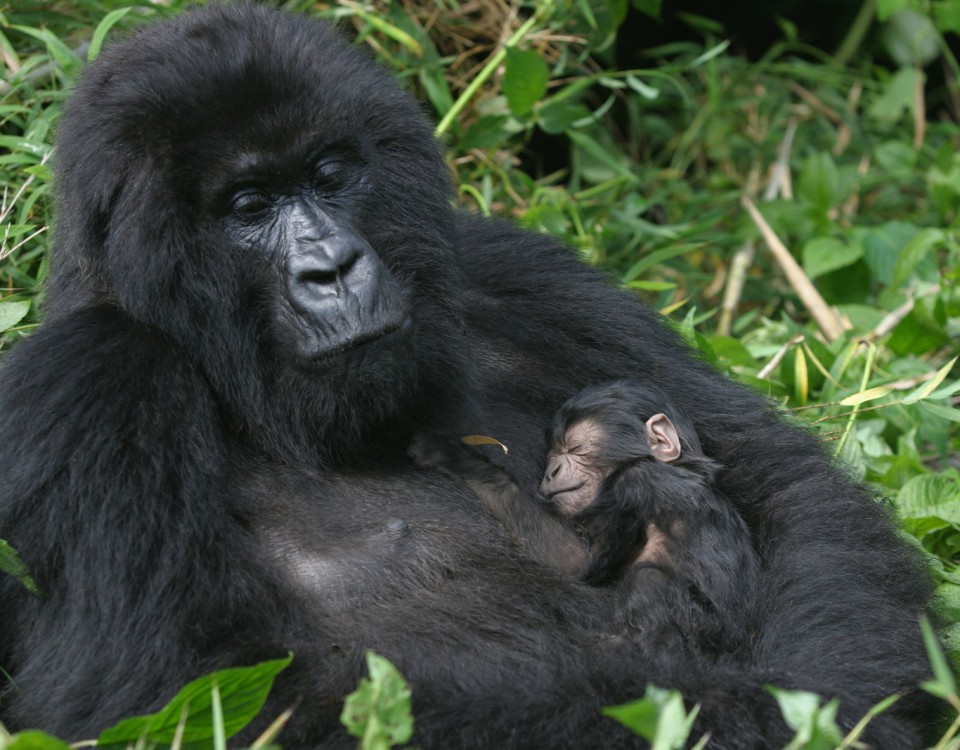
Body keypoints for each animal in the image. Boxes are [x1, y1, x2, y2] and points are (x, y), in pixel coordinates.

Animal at [410, 382, 756, 656]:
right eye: (552, 453)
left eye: (575, 447)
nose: (551, 470)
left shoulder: (633, 483)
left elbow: (576, 560)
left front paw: (454, 455)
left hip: (700, 630)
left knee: (652, 580)